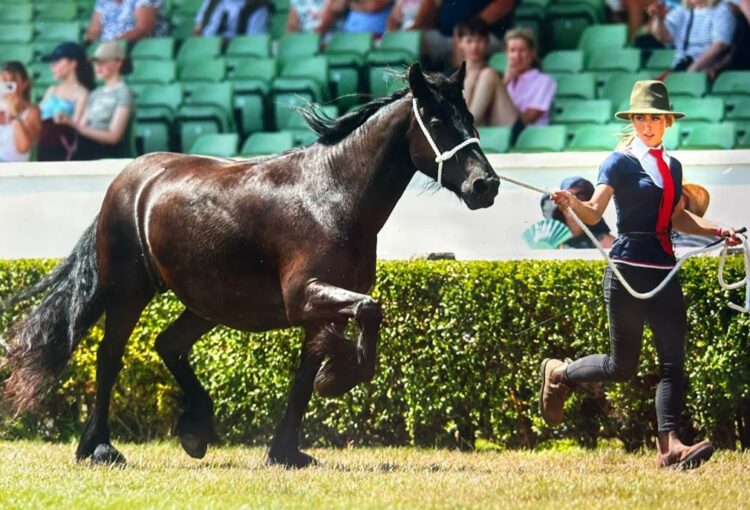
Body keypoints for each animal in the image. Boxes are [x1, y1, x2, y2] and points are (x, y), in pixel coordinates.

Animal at [0, 62, 499, 468]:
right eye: (436, 121)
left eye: (471, 119)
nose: (486, 185)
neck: (332, 197)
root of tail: (128, 178)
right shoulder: (304, 297)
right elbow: (366, 313)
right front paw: (336, 378)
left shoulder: (323, 307)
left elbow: (307, 372)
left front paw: (286, 451)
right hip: (128, 291)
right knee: (110, 357)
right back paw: (99, 447)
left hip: (206, 302)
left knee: (168, 344)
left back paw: (195, 429)